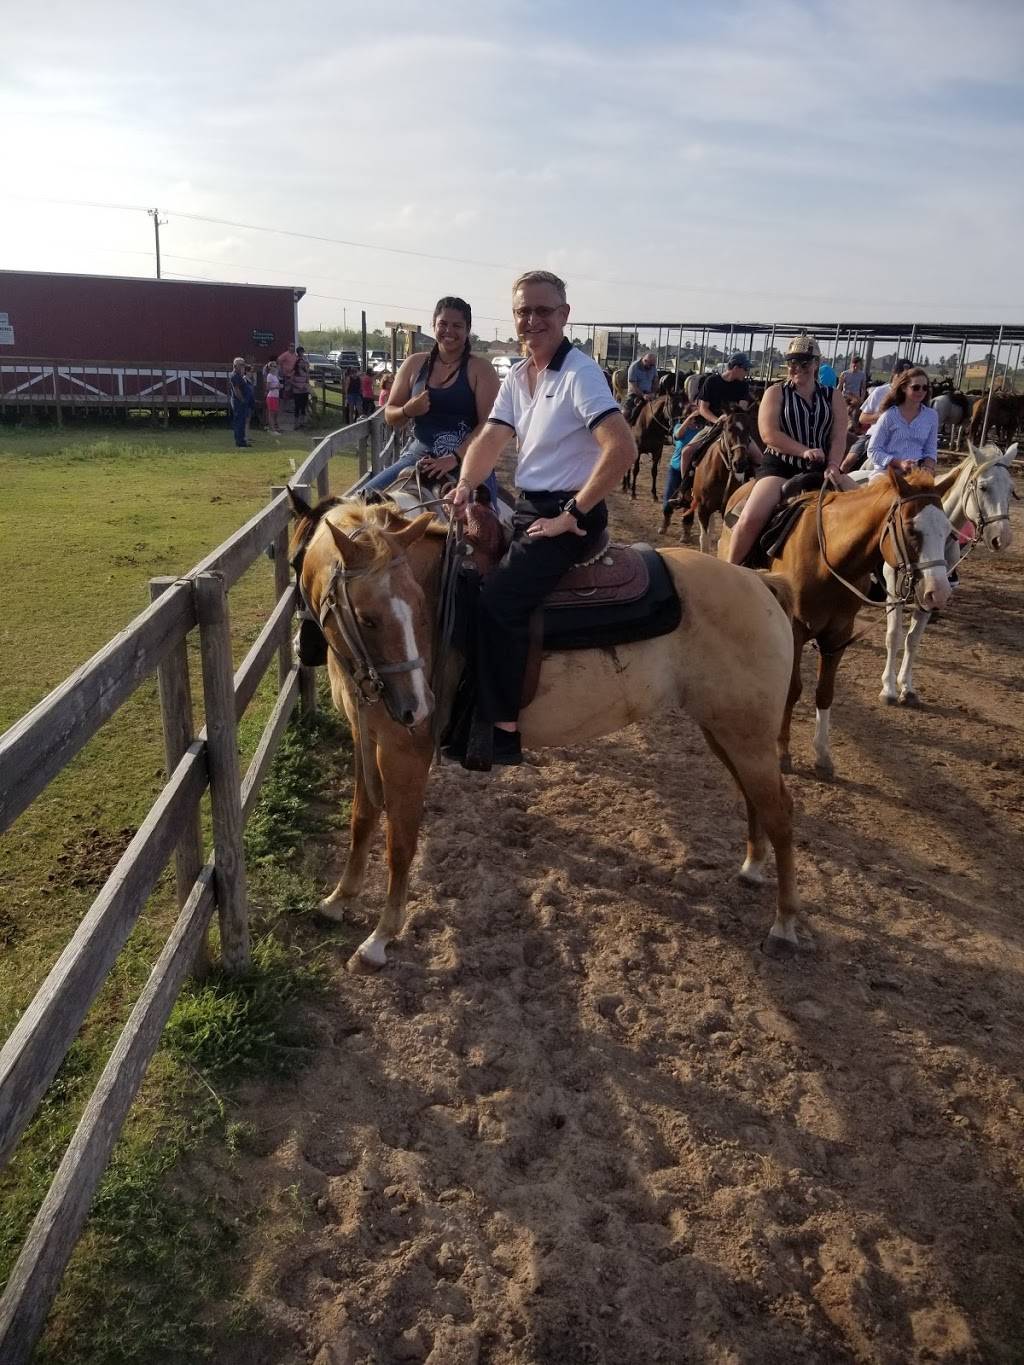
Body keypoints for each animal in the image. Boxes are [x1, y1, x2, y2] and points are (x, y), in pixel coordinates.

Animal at [290, 491, 808, 971]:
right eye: (370, 618)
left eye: (415, 606)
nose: (418, 707)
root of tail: (759, 583)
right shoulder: (367, 738)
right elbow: (362, 820)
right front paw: (338, 900)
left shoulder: (405, 752)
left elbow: (400, 842)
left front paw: (379, 938)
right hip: (727, 733)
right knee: (754, 798)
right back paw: (752, 868)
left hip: (748, 736)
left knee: (781, 811)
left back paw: (784, 925)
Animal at [720, 466, 955, 780]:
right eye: (910, 529)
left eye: (947, 531)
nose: (938, 593)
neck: (828, 557)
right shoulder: (796, 629)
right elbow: (793, 690)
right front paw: (783, 753)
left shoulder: (838, 635)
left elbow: (824, 692)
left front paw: (822, 755)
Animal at [884, 442, 1021, 709]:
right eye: (983, 487)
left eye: (1011, 490)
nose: (1002, 538)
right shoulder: (894, 590)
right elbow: (893, 636)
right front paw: (888, 688)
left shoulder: (931, 593)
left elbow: (912, 639)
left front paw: (907, 687)